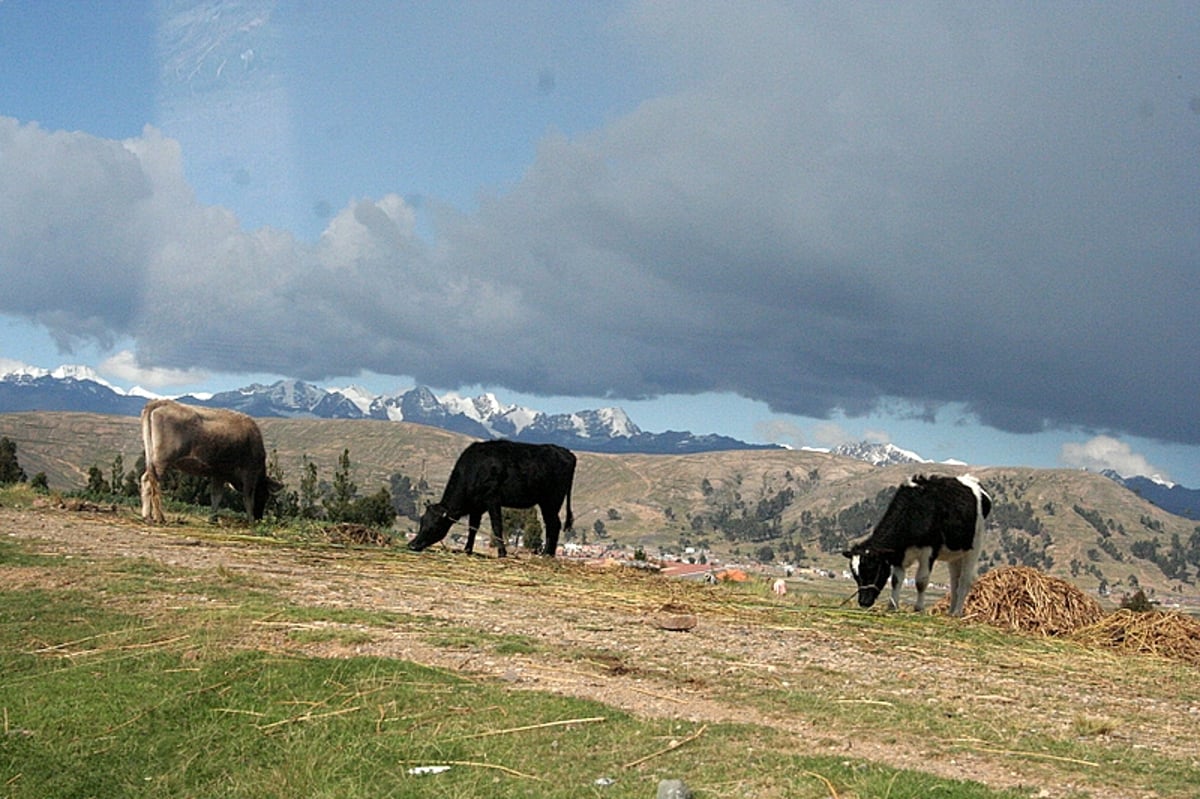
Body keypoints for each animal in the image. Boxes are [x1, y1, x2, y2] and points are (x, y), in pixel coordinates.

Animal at [139, 398, 279, 523]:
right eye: (264, 495)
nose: (259, 518)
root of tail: (162, 402)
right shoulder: (249, 472)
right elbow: (248, 497)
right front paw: (250, 520)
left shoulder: (219, 473)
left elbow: (216, 496)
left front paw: (213, 518)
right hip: (162, 460)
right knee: (154, 483)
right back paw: (159, 517)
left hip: (153, 459)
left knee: (145, 480)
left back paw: (147, 516)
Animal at [408, 439, 576, 556]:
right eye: (422, 522)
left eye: (435, 525)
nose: (412, 545)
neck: (474, 468)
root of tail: (566, 452)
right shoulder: (477, 506)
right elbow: (473, 528)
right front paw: (467, 550)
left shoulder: (492, 500)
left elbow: (496, 526)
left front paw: (502, 553)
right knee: (553, 525)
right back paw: (549, 554)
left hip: (551, 501)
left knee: (554, 524)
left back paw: (547, 554)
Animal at [840, 475, 988, 611]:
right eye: (855, 575)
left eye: (872, 569)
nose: (863, 602)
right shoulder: (899, 555)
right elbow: (896, 580)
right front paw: (892, 606)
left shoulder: (929, 551)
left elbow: (921, 581)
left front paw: (919, 608)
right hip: (954, 554)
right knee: (954, 581)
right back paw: (951, 611)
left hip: (974, 547)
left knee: (964, 581)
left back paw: (957, 612)